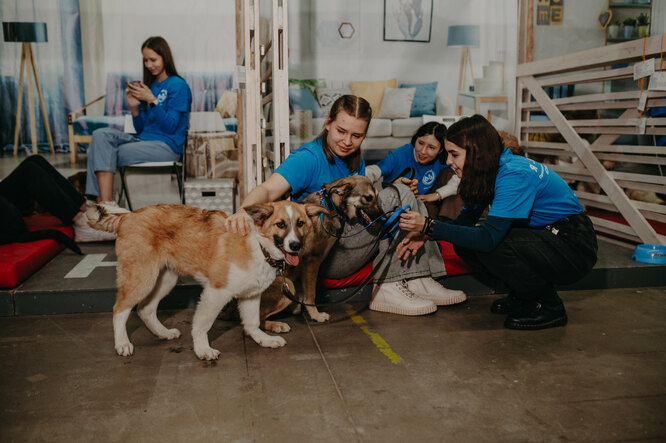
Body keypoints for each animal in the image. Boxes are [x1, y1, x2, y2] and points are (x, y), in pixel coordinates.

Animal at [87, 201, 326, 360]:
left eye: (300, 223)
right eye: (280, 224)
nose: (295, 246)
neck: (260, 247)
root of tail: (128, 216)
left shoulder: (251, 295)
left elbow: (252, 322)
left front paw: (262, 339)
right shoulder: (215, 292)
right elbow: (202, 324)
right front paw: (202, 349)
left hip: (165, 279)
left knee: (145, 309)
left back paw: (163, 333)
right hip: (142, 277)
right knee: (120, 309)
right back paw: (122, 343)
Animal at [260, 175, 384, 332]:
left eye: (377, 197)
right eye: (368, 198)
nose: (384, 217)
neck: (330, 206)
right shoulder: (312, 261)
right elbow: (311, 295)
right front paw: (316, 315)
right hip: (287, 285)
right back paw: (276, 325)